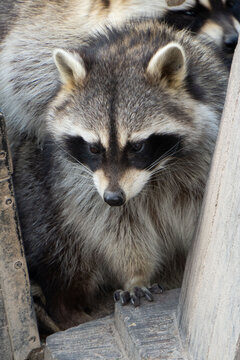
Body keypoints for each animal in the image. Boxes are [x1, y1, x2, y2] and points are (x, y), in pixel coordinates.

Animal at [11, 19, 229, 330]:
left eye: (137, 146)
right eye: (94, 147)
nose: (114, 197)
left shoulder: (203, 157)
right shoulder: (81, 182)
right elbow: (117, 229)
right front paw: (136, 275)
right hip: (38, 186)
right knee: (63, 249)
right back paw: (67, 303)